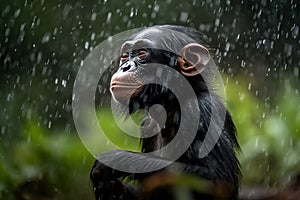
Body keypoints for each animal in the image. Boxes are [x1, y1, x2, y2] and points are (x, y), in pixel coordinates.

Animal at [90, 25, 240, 200]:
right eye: (125, 56)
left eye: (142, 53)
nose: (125, 67)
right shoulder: (147, 125)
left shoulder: (202, 111)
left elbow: (216, 179)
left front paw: (111, 161)